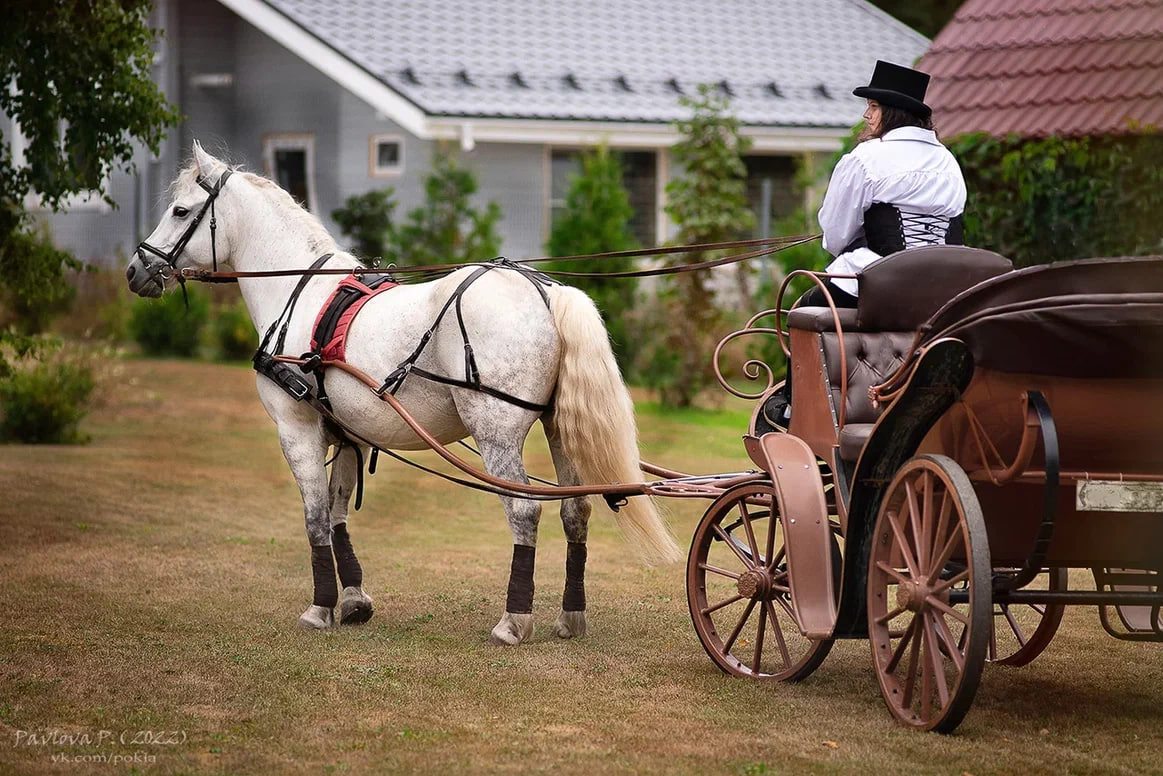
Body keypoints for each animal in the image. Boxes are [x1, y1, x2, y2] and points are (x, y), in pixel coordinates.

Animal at [125, 142, 679, 646]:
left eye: (180, 210)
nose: (136, 270)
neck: (298, 293)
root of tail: (544, 290)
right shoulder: (349, 435)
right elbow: (338, 513)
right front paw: (353, 602)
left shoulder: (297, 429)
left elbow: (313, 518)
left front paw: (320, 608)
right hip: (559, 429)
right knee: (574, 511)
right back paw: (570, 618)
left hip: (497, 433)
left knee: (524, 511)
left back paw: (513, 621)